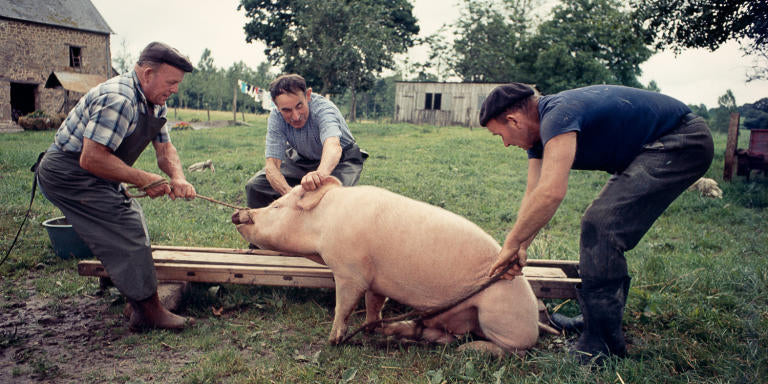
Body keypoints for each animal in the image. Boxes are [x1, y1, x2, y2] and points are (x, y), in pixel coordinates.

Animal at [234, 177, 540, 354]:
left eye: (276, 206)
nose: (238, 214)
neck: (322, 224)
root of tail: (535, 322)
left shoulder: (350, 272)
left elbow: (343, 306)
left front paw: (333, 341)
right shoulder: (375, 280)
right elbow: (374, 305)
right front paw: (370, 328)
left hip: (500, 318)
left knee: (508, 349)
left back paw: (472, 350)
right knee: (444, 335)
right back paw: (400, 333)